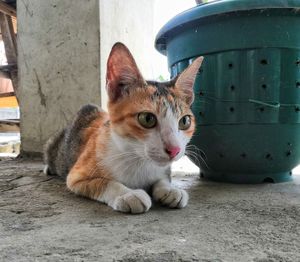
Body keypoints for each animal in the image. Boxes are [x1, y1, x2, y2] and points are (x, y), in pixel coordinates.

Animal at [44, 41, 204, 213]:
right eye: (147, 119)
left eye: (185, 121)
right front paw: (128, 194)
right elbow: (104, 182)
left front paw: (170, 190)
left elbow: (162, 179)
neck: (137, 159)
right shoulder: (77, 175)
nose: (174, 150)